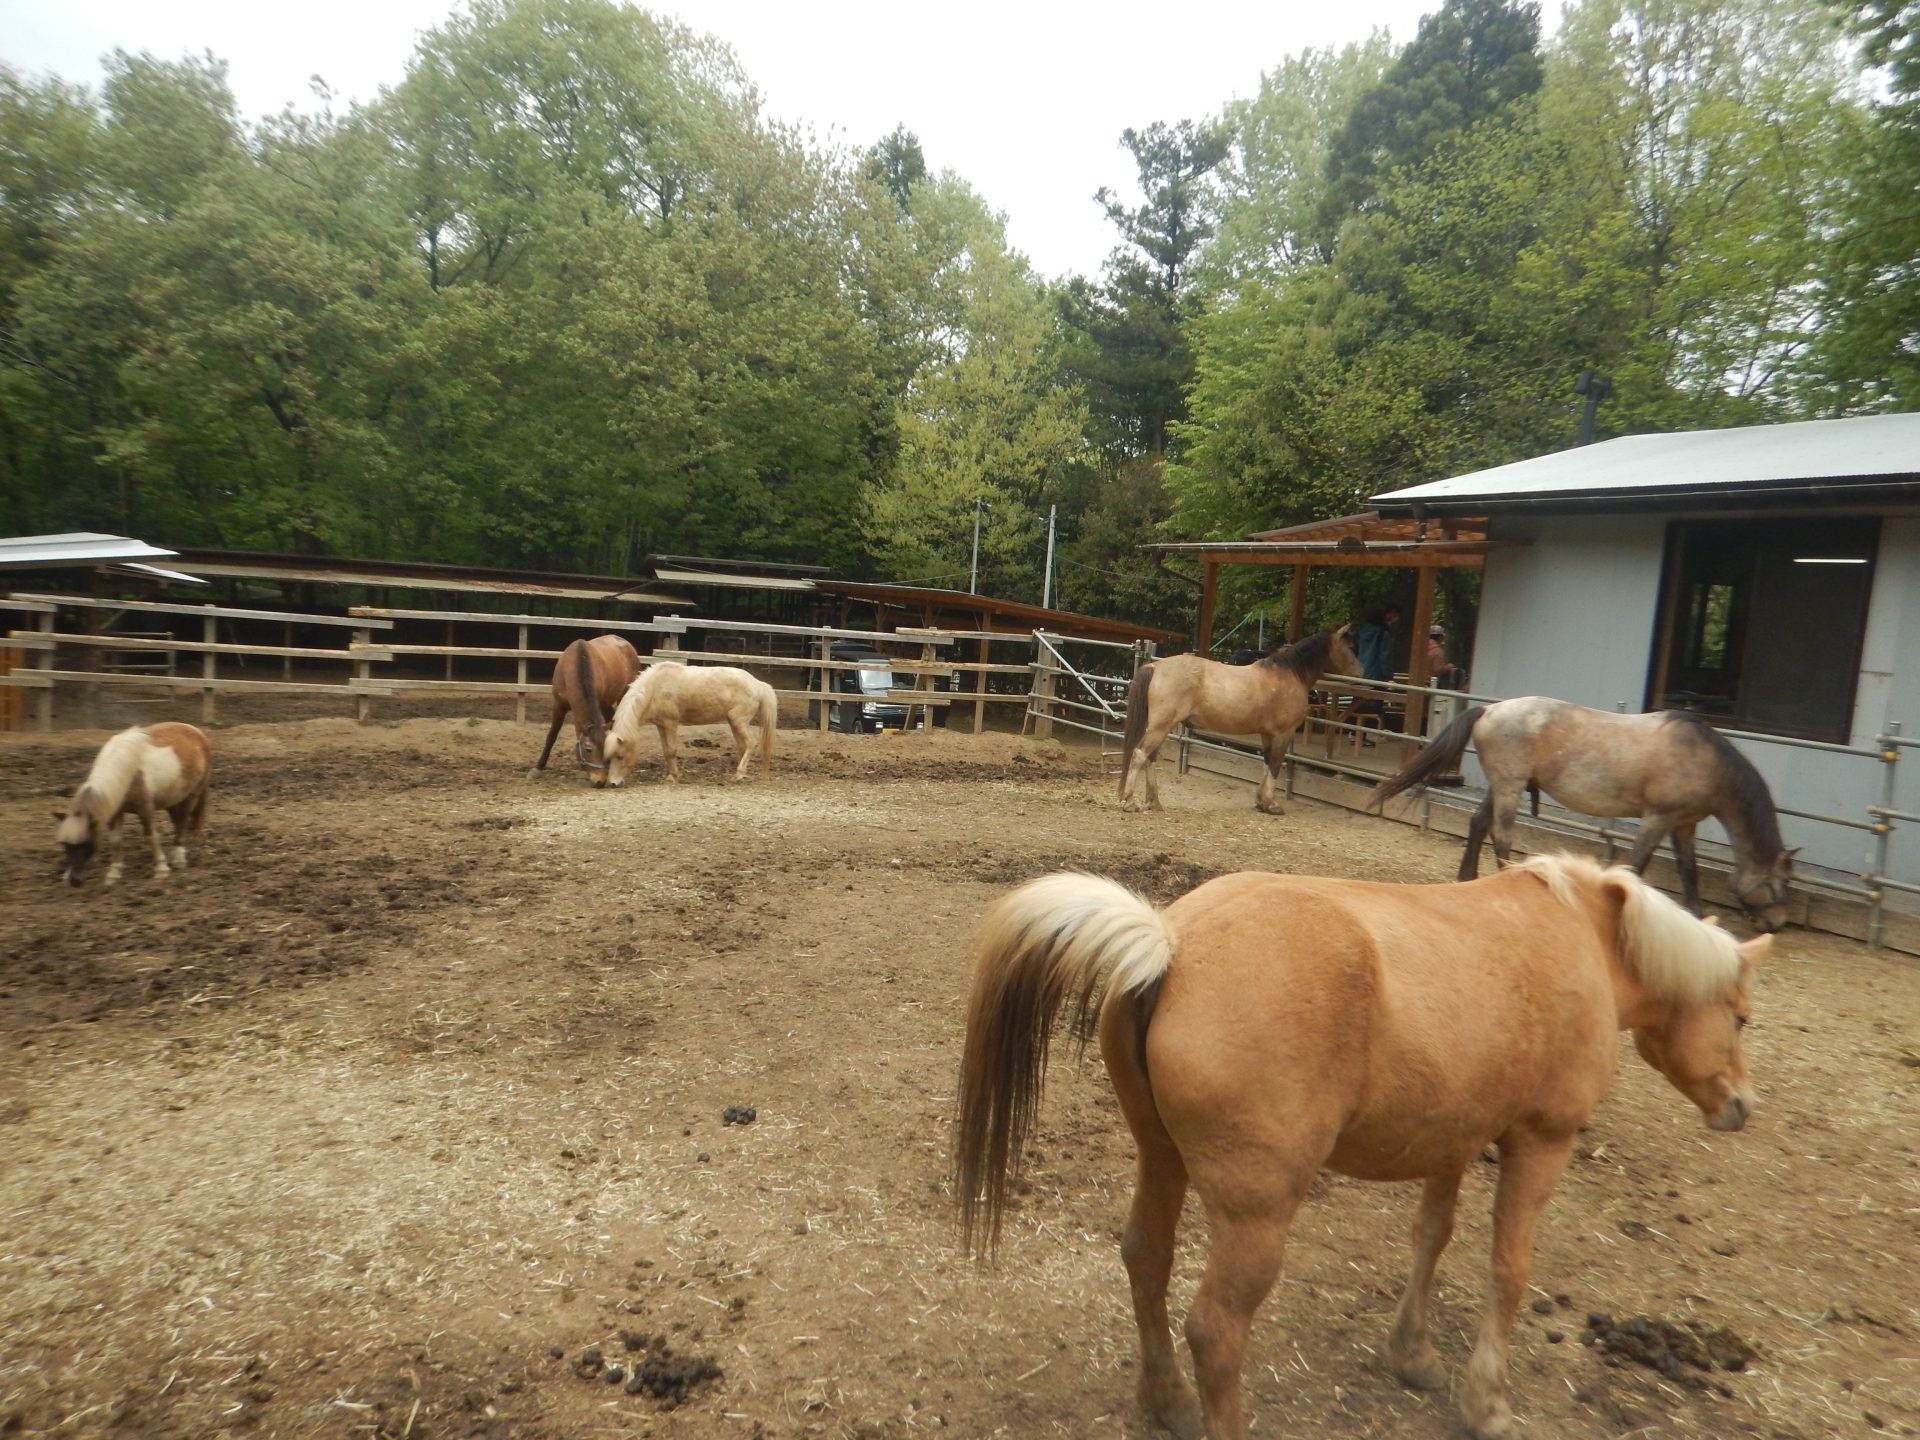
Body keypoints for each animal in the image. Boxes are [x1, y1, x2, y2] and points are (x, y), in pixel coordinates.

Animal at [54, 725, 212, 887]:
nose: (74, 881)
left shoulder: (145, 809)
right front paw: (114, 873)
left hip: (191, 795)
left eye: (86, 844)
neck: (125, 770)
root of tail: (197, 732)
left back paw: (179, 859)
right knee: (177, 822)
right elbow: (116, 841)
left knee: (182, 823)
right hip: (172, 800)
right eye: (65, 845)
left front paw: (161, 869)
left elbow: (151, 836)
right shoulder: (115, 812)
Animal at [533, 629, 645, 791]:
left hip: (621, 696)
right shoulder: (559, 705)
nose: (600, 781)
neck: (574, 664)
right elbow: (552, 736)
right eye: (588, 749)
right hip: (606, 704)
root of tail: (627, 645)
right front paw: (538, 767)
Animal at [602, 664, 775, 791]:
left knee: (751, 743)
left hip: (739, 721)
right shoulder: (661, 725)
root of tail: (758, 685)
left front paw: (673, 777)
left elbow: (672, 750)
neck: (655, 688)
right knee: (743, 747)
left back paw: (739, 774)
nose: (612, 783)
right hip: (734, 723)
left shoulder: (671, 723)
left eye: (620, 756)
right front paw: (670, 775)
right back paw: (741, 774)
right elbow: (666, 751)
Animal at [952, 856, 1758, 1440]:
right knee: (1216, 1330)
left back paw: (1168, 1401)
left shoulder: (1454, 1140)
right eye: (1743, 1018)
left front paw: (1414, 1355)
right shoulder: (1539, 1141)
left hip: (1163, 1160)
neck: (1579, 936)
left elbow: (1432, 1236)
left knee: (1146, 1260)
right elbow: (1508, 1270)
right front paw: (1487, 1403)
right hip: (1256, 1215)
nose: (1742, 1107)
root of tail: (1171, 946)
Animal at [1367, 698, 1797, 936]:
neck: (1703, 759)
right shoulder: (1657, 819)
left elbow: (1688, 869)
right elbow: (1637, 864)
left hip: (1502, 785)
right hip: (1509, 787)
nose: (1778, 923)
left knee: (1478, 824)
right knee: (1502, 834)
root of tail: (1490, 708)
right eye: (1783, 883)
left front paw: (1694, 915)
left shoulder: (1683, 823)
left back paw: (1468, 879)